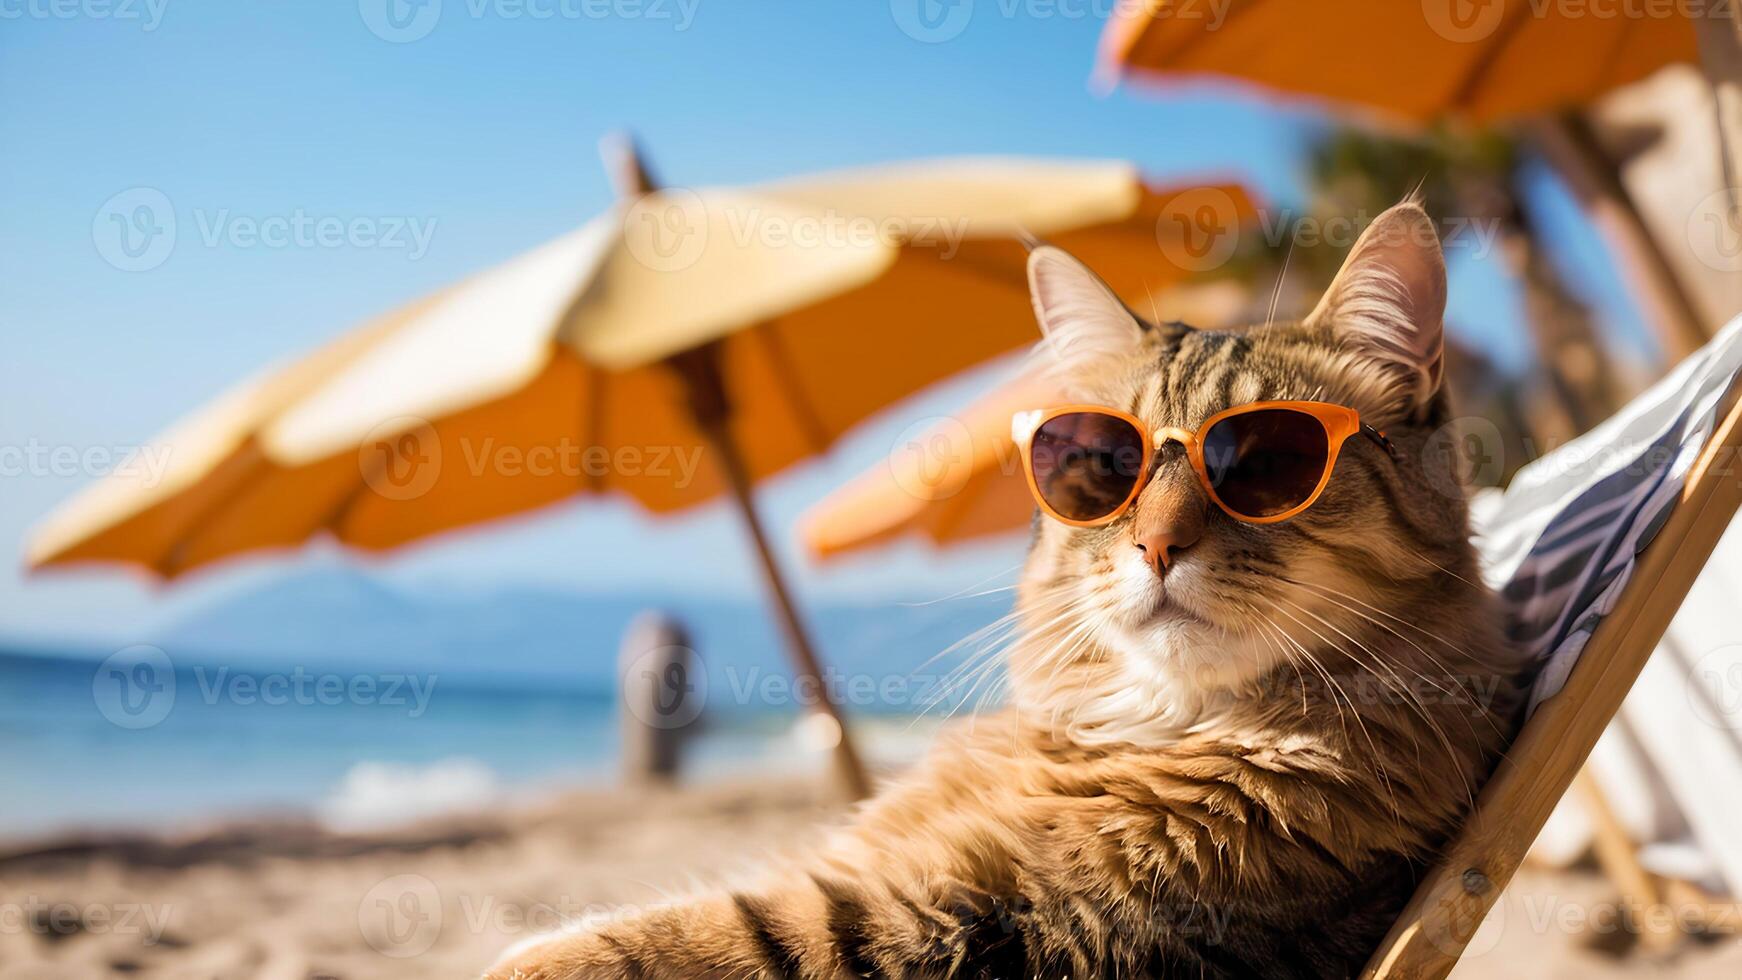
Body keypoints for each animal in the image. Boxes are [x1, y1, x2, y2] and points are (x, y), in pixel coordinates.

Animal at [487, 203, 1525, 974]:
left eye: (1266, 461)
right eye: (1106, 463)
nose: (1157, 543)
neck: (1141, 724)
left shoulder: (974, 926)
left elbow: (677, 938)